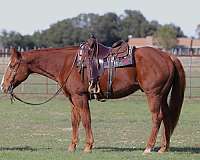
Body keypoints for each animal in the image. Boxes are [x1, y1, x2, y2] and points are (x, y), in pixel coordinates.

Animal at [1, 45, 186, 153]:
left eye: (12, 65)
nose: (3, 85)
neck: (67, 63)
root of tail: (168, 56)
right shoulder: (73, 99)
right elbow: (75, 121)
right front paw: (72, 147)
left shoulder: (80, 98)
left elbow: (86, 120)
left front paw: (88, 146)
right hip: (162, 96)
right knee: (167, 118)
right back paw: (163, 148)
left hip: (153, 95)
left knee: (157, 118)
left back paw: (148, 148)